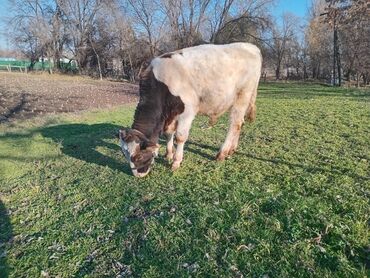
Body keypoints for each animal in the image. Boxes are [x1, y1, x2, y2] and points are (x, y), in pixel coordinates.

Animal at [120, 43, 262, 178]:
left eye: (138, 156)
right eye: (124, 154)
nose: (138, 175)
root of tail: (251, 47)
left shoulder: (187, 111)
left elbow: (180, 137)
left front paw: (176, 162)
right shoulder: (172, 114)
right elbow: (168, 133)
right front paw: (168, 154)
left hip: (242, 97)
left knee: (235, 125)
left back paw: (222, 153)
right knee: (240, 123)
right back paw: (232, 149)